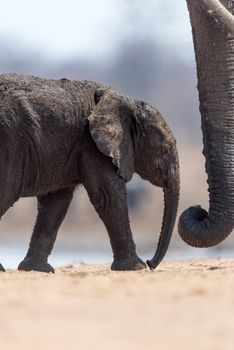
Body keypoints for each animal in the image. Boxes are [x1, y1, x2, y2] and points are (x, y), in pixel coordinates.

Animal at [0, 72, 179, 272]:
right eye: (165, 150)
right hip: (10, 142)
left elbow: (55, 203)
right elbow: (108, 196)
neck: (125, 101)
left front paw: (36, 269)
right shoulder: (92, 145)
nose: (150, 263)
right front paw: (136, 267)